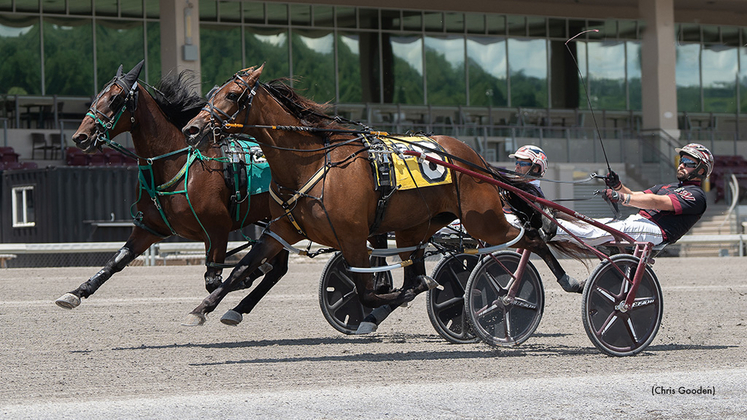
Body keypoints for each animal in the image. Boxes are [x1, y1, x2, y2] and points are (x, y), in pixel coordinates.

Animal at [54, 61, 290, 318]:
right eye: (97, 96)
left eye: (116, 98)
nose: (81, 136)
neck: (178, 166)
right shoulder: (149, 228)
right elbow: (116, 261)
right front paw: (76, 292)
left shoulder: (217, 229)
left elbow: (214, 280)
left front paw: (240, 281)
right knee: (279, 269)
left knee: (275, 269)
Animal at [178, 65, 580, 328]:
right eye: (211, 94)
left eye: (232, 95)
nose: (192, 128)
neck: (312, 162)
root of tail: (474, 157)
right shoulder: (283, 229)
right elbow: (241, 269)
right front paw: (207, 308)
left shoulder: (354, 236)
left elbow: (370, 290)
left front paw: (383, 304)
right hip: (414, 228)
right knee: (418, 267)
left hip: (484, 219)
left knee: (532, 236)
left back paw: (560, 283)